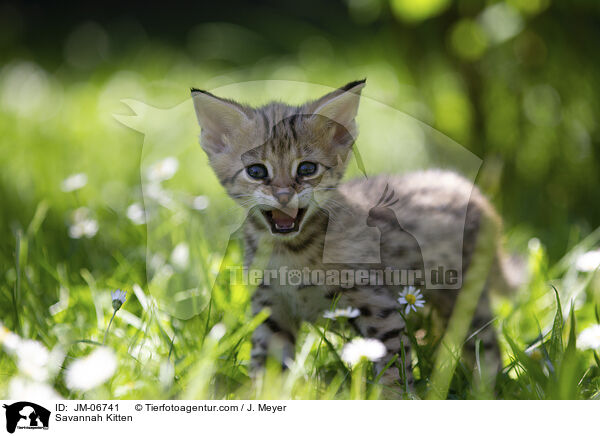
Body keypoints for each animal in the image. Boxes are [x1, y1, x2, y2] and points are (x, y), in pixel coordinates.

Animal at [191, 80, 516, 390]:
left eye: (307, 168)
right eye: (257, 171)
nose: (283, 196)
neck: (290, 250)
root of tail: (472, 191)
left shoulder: (376, 303)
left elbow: (392, 363)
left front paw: (394, 395)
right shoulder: (270, 308)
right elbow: (267, 367)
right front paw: (263, 394)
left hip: (462, 296)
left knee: (486, 347)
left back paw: (483, 389)